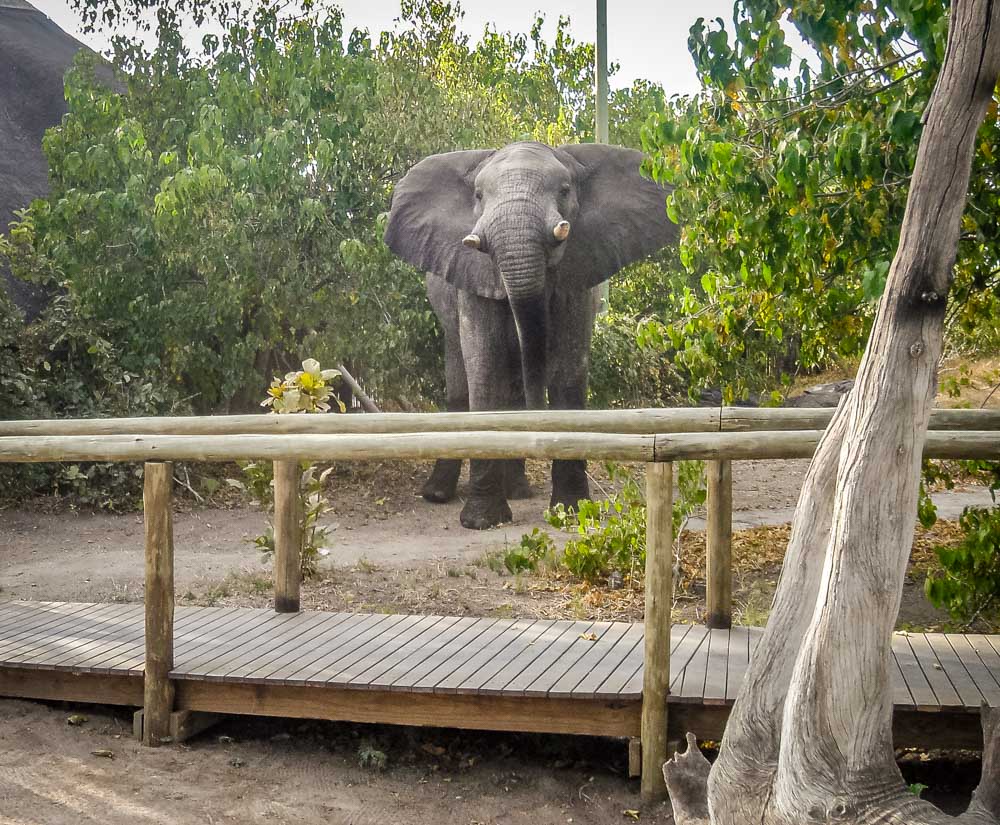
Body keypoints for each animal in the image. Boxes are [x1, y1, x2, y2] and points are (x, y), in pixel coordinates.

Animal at [382, 141, 680, 528]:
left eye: (565, 190)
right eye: (478, 195)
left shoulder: (578, 279)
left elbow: (568, 373)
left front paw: (571, 512)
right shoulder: (473, 276)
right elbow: (486, 372)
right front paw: (482, 522)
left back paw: (518, 491)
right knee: (461, 385)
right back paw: (437, 494)